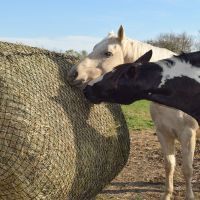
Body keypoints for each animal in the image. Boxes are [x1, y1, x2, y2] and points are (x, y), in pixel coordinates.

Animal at [68, 25, 199, 199]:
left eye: (107, 53)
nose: (72, 74)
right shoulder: (163, 133)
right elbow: (169, 165)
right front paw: (167, 194)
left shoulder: (188, 134)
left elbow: (187, 169)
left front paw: (189, 195)